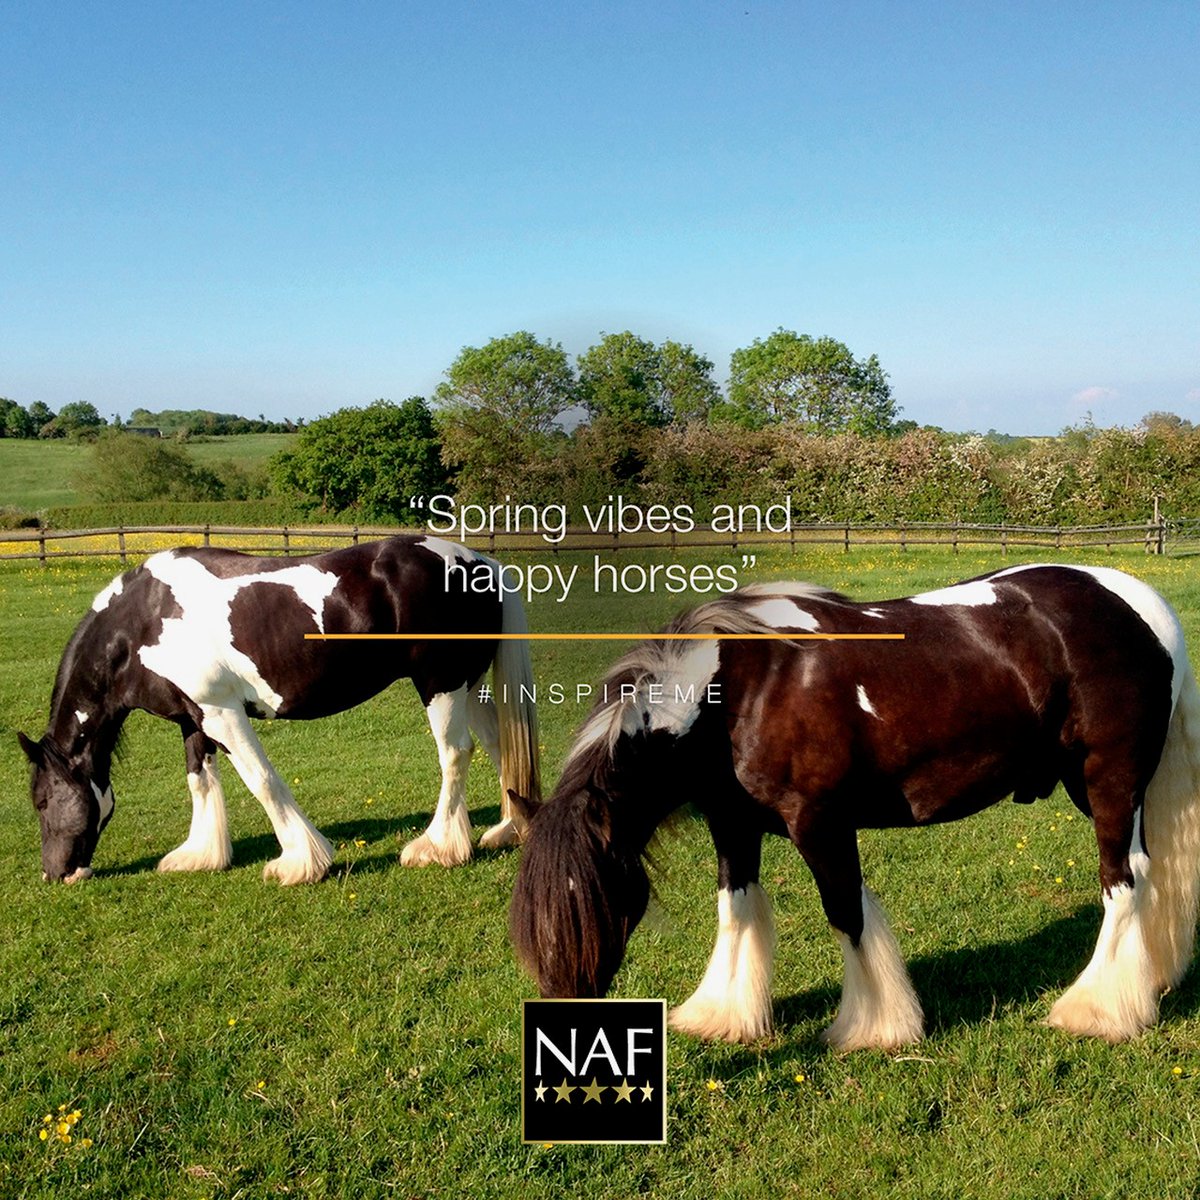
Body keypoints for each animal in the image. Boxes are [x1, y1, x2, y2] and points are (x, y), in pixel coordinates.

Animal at [20, 535, 539, 885]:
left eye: (42, 801)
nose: (55, 874)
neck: (142, 622)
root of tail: (480, 561)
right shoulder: (194, 717)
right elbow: (199, 781)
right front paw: (200, 854)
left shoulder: (222, 712)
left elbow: (261, 780)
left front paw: (300, 861)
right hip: (469, 686)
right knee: (499, 744)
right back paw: (507, 830)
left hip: (440, 684)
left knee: (455, 753)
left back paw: (437, 847)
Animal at [510, 563, 1200, 1049]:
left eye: (598, 899)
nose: (564, 1040)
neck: (739, 690)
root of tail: (1144, 606)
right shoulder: (733, 825)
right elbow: (736, 910)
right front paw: (721, 1016)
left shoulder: (820, 825)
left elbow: (848, 915)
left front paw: (874, 1027)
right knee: (1148, 875)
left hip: (1109, 781)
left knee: (1124, 882)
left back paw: (1096, 1010)